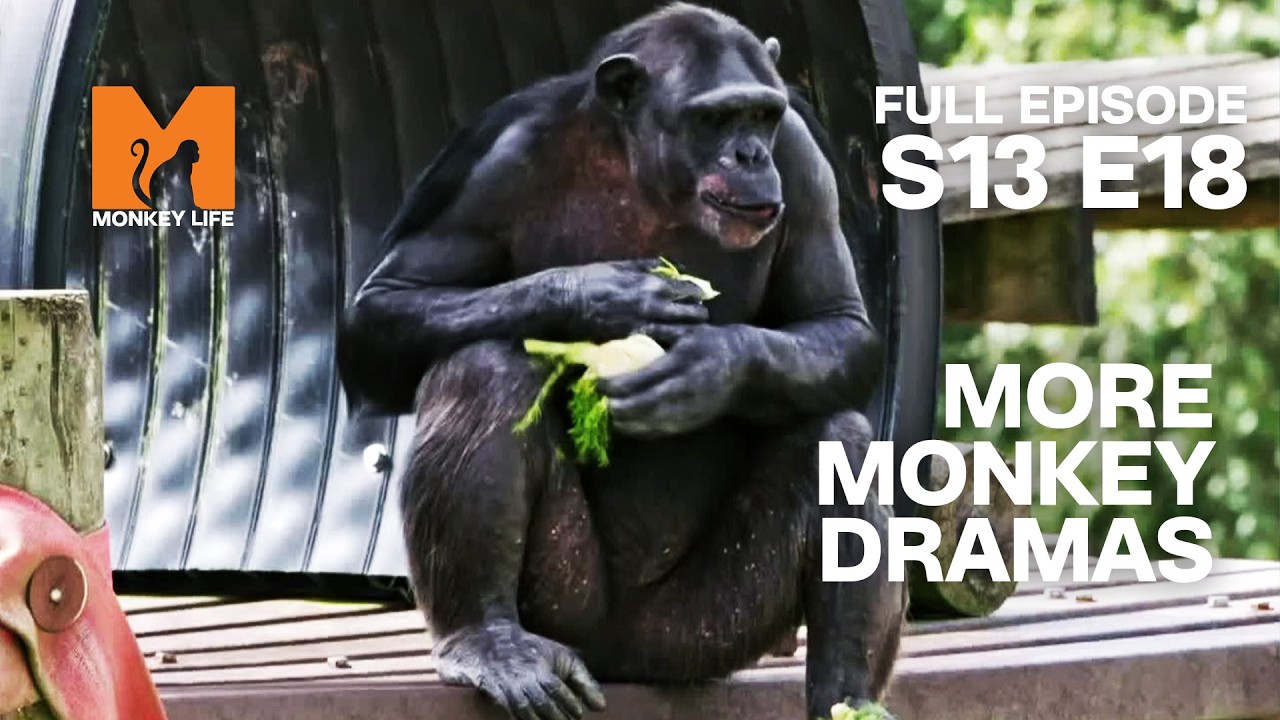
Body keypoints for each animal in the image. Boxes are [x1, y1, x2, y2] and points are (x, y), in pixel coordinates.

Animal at [337, 5, 904, 719]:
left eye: (761, 116)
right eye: (714, 119)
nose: (750, 154)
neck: (644, 170)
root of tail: (620, 654)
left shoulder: (801, 162)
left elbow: (838, 320)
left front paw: (707, 369)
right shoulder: (487, 162)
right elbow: (380, 313)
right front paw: (602, 296)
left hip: (702, 633)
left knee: (839, 438)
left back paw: (847, 697)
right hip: (566, 600)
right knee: (481, 369)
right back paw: (489, 643)